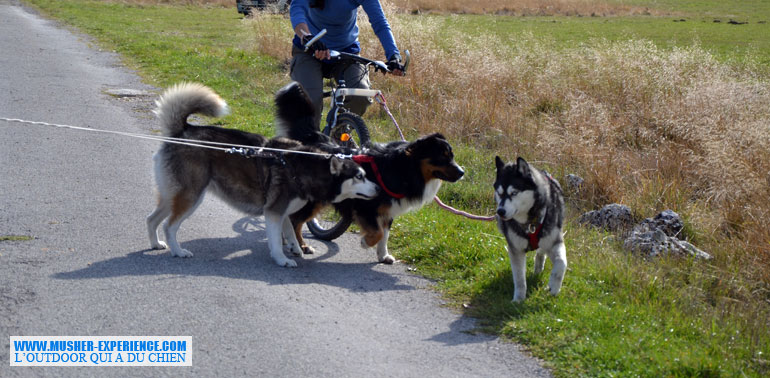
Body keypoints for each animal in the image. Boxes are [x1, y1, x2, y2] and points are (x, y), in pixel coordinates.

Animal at [147, 82, 378, 266]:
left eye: (365, 173)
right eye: (359, 176)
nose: (377, 188)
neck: (304, 166)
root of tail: (182, 132)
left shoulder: (283, 213)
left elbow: (291, 231)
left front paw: (296, 249)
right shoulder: (273, 213)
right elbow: (276, 240)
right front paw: (282, 259)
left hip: (172, 195)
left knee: (151, 219)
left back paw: (156, 243)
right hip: (191, 197)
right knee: (169, 226)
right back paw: (177, 250)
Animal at [492, 156, 564, 302]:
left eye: (514, 193)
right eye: (500, 193)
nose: (500, 211)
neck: (530, 223)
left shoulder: (555, 241)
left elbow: (561, 263)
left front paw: (554, 286)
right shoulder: (516, 249)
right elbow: (519, 279)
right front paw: (518, 299)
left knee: (542, 251)